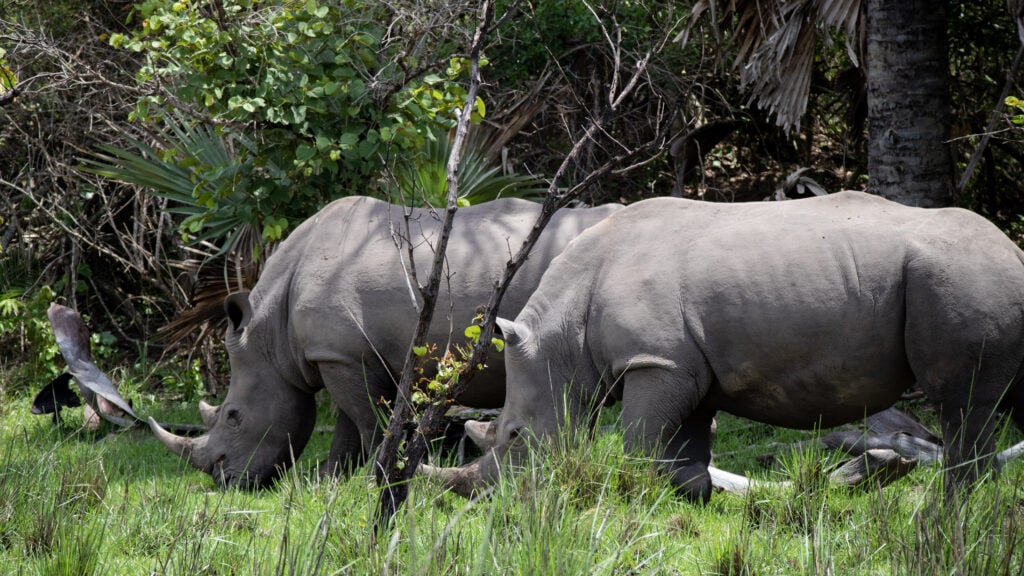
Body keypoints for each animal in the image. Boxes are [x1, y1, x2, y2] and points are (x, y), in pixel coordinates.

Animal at [149, 196, 621, 488]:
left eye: (233, 416)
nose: (225, 481)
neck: (271, 336)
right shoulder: (342, 355)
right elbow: (347, 426)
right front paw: (327, 480)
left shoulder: (343, 356)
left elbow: (367, 422)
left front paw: (373, 478)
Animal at [423, 191, 1024, 502]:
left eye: (515, 436)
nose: (488, 497)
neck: (562, 339)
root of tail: (1014, 249)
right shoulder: (688, 367)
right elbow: (683, 459)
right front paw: (692, 498)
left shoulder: (657, 362)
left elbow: (637, 446)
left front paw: (629, 496)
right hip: (976, 276)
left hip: (961, 276)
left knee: (962, 405)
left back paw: (948, 514)